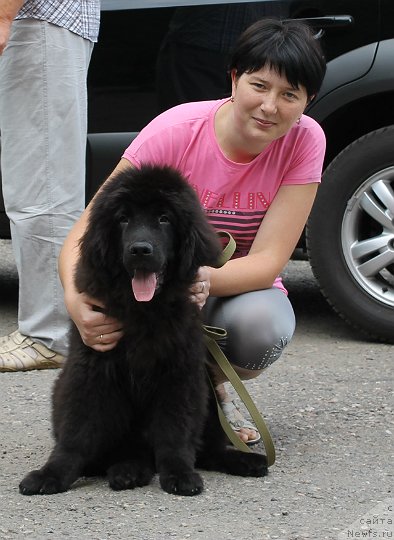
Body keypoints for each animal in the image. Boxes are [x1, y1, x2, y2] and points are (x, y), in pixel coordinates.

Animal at [18, 166, 268, 498]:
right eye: (123, 219)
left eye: (164, 219)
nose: (140, 250)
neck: (143, 311)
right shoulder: (91, 369)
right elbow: (76, 432)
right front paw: (51, 474)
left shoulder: (179, 374)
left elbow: (175, 433)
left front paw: (179, 473)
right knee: (123, 453)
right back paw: (127, 471)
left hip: (207, 392)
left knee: (207, 450)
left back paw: (245, 460)